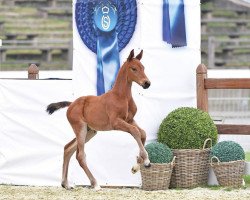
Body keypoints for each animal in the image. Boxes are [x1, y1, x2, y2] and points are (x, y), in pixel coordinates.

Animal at [46, 49, 150, 190]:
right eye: (133, 68)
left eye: (143, 67)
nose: (147, 83)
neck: (121, 96)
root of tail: (72, 104)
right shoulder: (116, 122)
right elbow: (135, 131)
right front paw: (146, 161)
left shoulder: (130, 120)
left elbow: (142, 132)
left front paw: (136, 166)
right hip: (80, 128)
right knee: (80, 155)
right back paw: (95, 184)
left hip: (90, 131)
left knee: (68, 148)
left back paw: (65, 184)